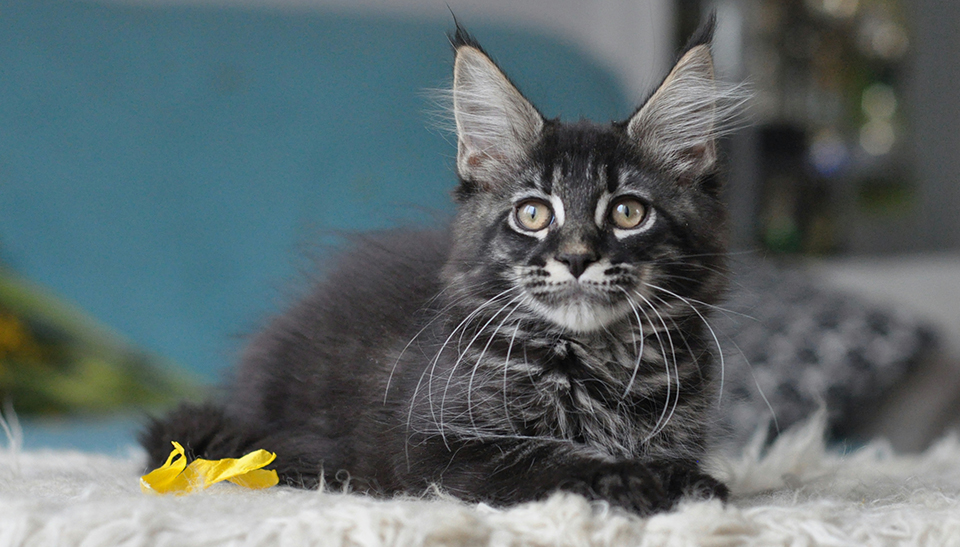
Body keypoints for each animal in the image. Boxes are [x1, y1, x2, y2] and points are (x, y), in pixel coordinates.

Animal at [141, 15, 744, 516]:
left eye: (627, 213)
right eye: (532, 214)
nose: (576, 258)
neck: (600, 362)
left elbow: (676, 461)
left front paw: (685, 482)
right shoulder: (438, 447)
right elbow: (549, 457)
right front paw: (631, 479)